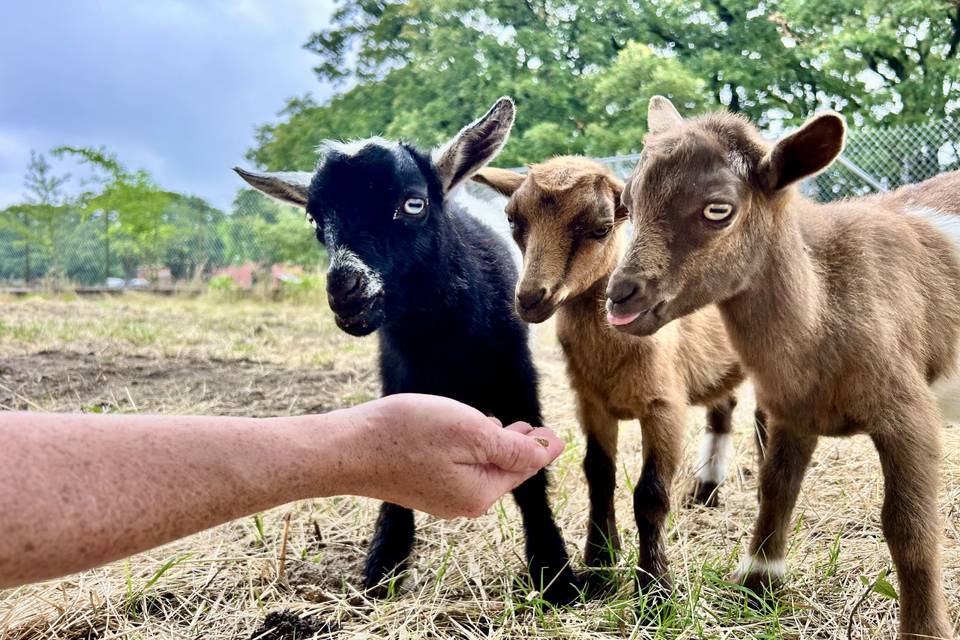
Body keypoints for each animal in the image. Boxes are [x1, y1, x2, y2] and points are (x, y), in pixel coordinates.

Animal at [234, 98, 580, 603]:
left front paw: (554, 574)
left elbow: (532, 477)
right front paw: (382, 568)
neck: (441, 340)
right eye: (315, 219)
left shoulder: (517, 376)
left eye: (413, 203)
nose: (345, 291)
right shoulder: (398, 377)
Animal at [474, 156, 762, 597]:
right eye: (512, 220)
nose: (530, 299)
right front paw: (600, 561)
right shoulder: (592, 403)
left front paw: (655, 587)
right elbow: (598, 474)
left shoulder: (664, 406)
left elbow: (651, 495)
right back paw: (706, 492)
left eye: (601, 227)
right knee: (724, 408)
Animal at [607, 96, 960, 638]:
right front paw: (758, 584)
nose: (621, 296)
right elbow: (775, 491)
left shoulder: (908, 413)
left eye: (718, 210)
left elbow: (908, 525)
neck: (823, 304)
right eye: (628, 199)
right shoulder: (790, 410)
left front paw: (925, 629)